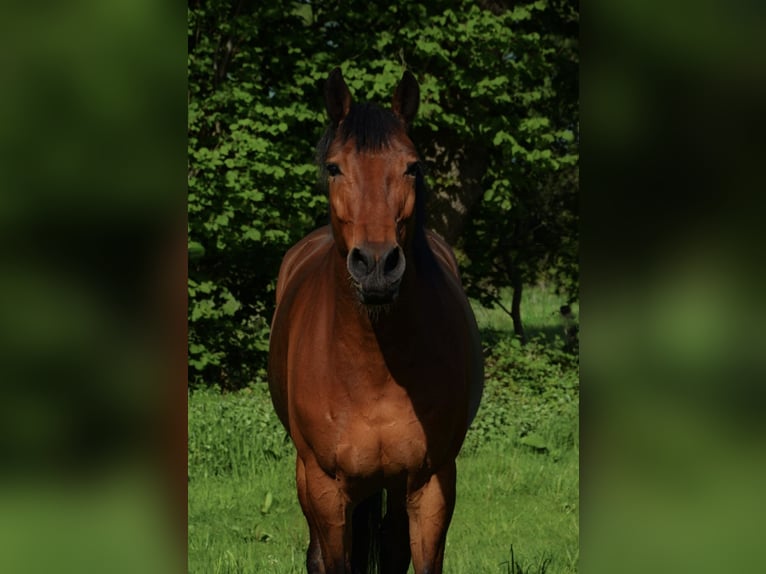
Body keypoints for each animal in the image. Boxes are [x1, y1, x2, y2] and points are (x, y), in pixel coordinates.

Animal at [270, 68, 484, 574]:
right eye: (334, 168)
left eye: (413, 166)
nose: (376, 265)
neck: (373, 367)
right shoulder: (325, 488)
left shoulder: (431, 484)